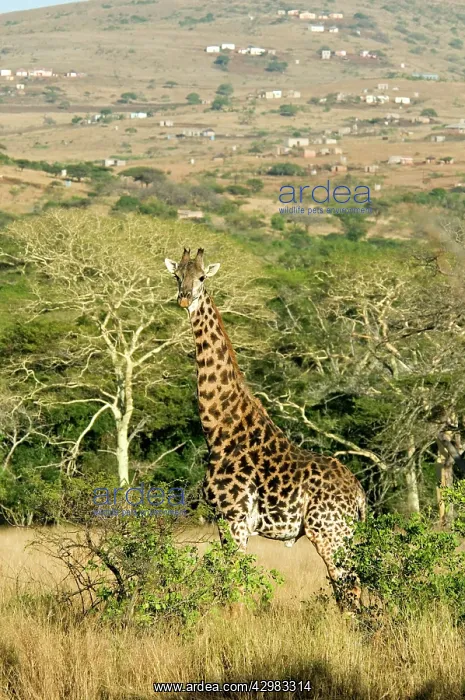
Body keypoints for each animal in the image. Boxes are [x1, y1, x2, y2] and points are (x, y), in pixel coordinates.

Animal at [164, 247, 366, 600]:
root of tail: (358, 494)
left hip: (329, 532)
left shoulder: (233, 517)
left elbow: (231, 584)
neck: (219, 430)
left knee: (350, 588)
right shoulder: (226, 520)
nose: (184, 298)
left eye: (202, 277)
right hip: (341, 534)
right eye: (177, 276)